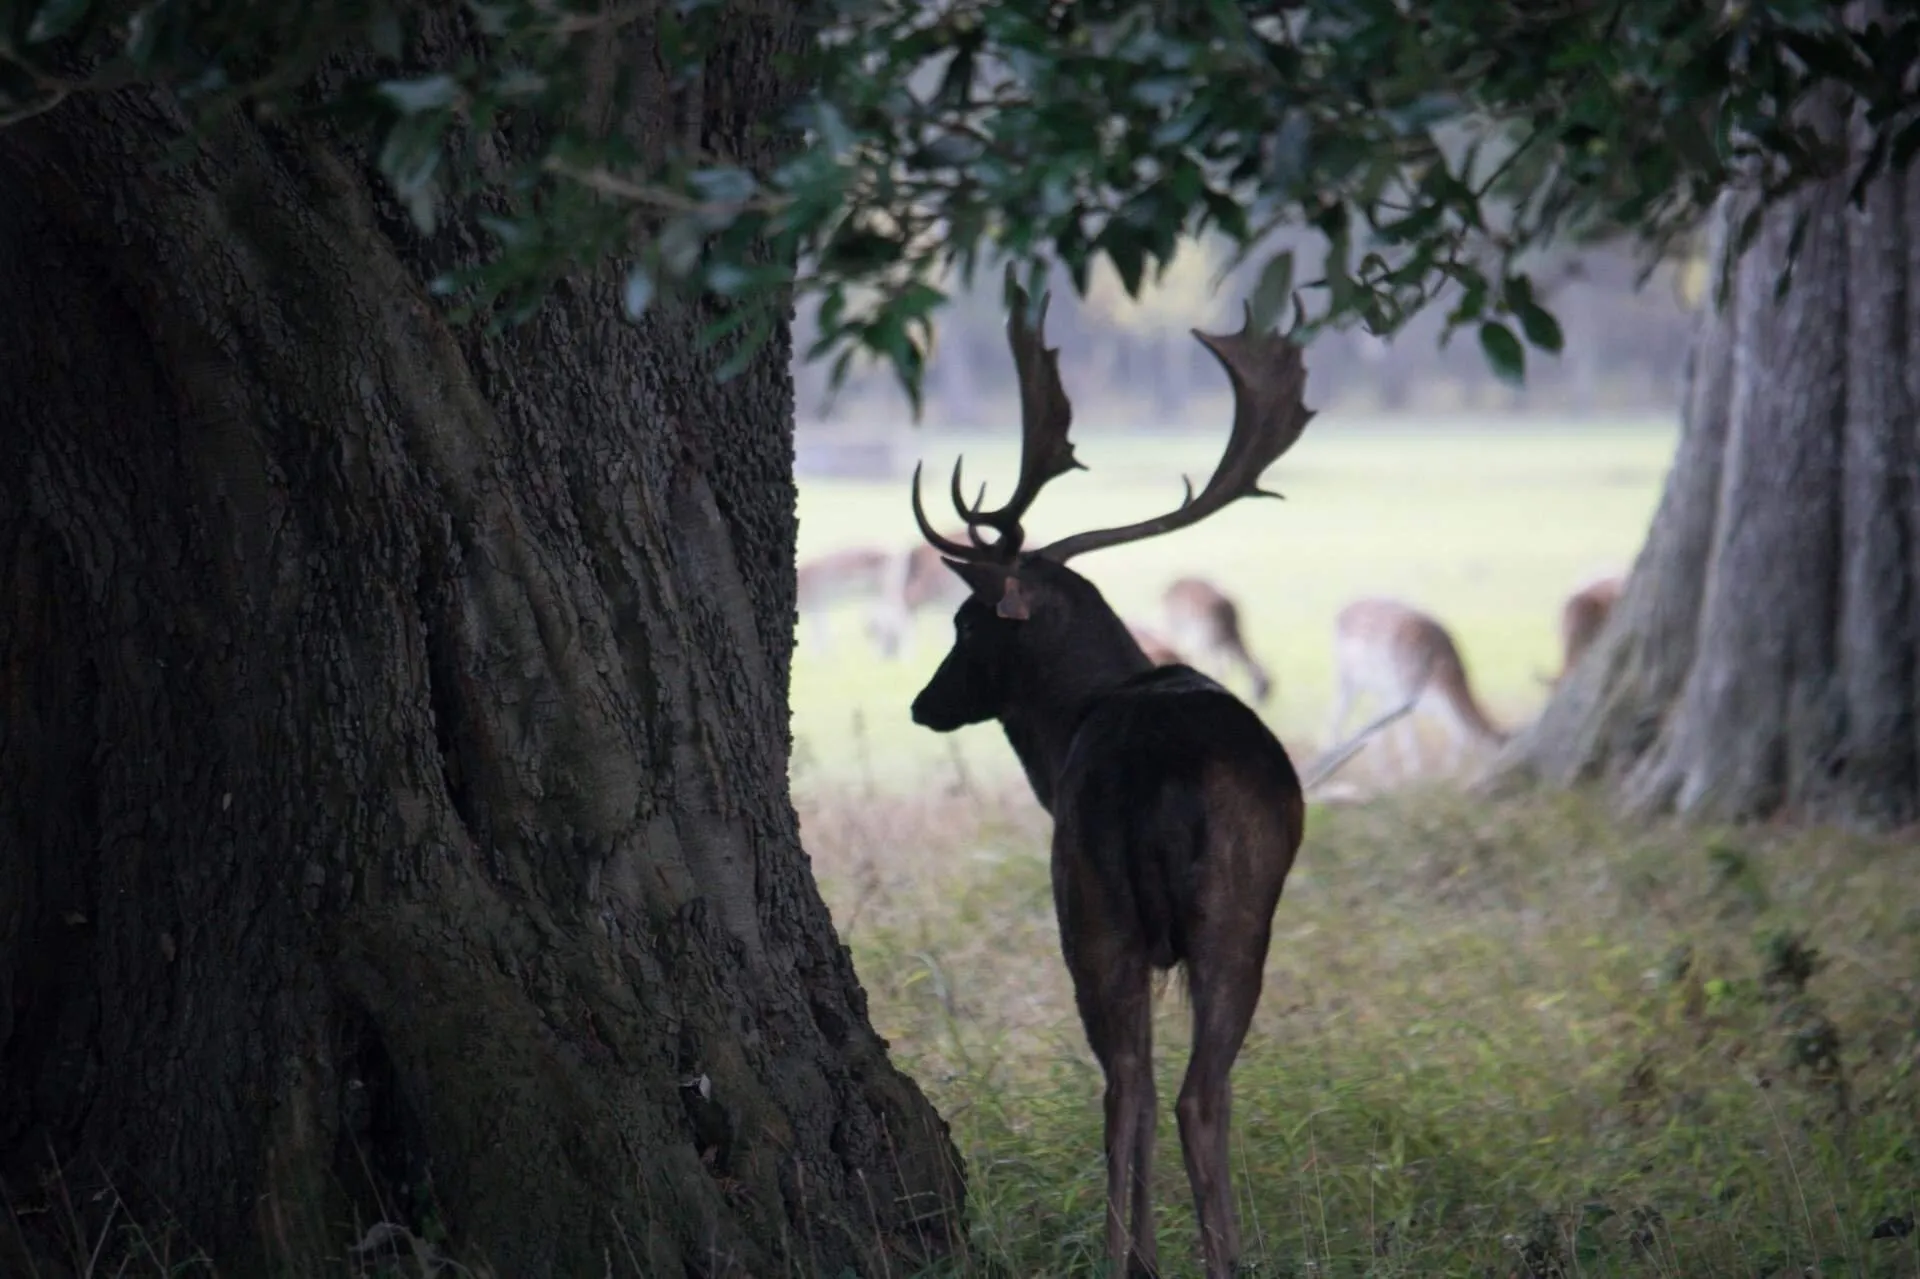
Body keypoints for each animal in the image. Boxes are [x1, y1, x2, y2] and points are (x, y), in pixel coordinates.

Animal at [905, 267, 1317, 1279]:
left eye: (964, 624)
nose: (925, 703)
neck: (1069, 732)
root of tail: (1161, 777)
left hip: (1092, 897)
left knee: (1130, 1082)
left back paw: (1133, 1256)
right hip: (1229, 902)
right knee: (1188, 1088)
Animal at [1324, 597, 1509, 780]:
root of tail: (1339, 613)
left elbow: (1455, 732)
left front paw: (1448, 772)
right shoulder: (1405, 696)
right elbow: (1409, 739)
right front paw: (1416, 776)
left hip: (1379, 689)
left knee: (1368, 725)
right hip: (1347, 678)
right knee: (1335, 716)